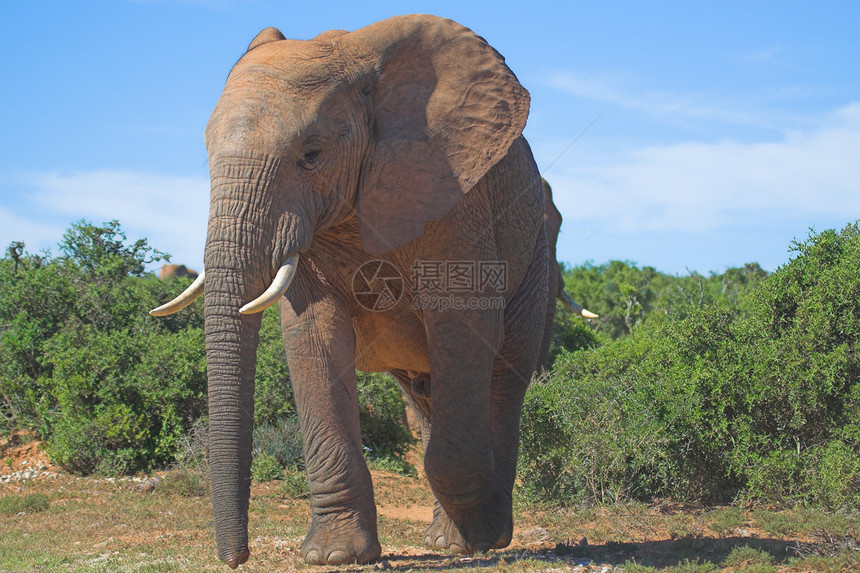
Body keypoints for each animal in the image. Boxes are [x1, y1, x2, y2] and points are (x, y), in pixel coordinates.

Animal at [150, 15, 576, 564]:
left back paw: (481, 536)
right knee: (427, 393)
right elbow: (312, 337)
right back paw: (448, 538)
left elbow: (463, 324)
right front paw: (335, 556)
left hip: (534, 256)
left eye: (311, 155)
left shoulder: (454, 196)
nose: (234, 559)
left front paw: (479, 531)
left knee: (502, 376)